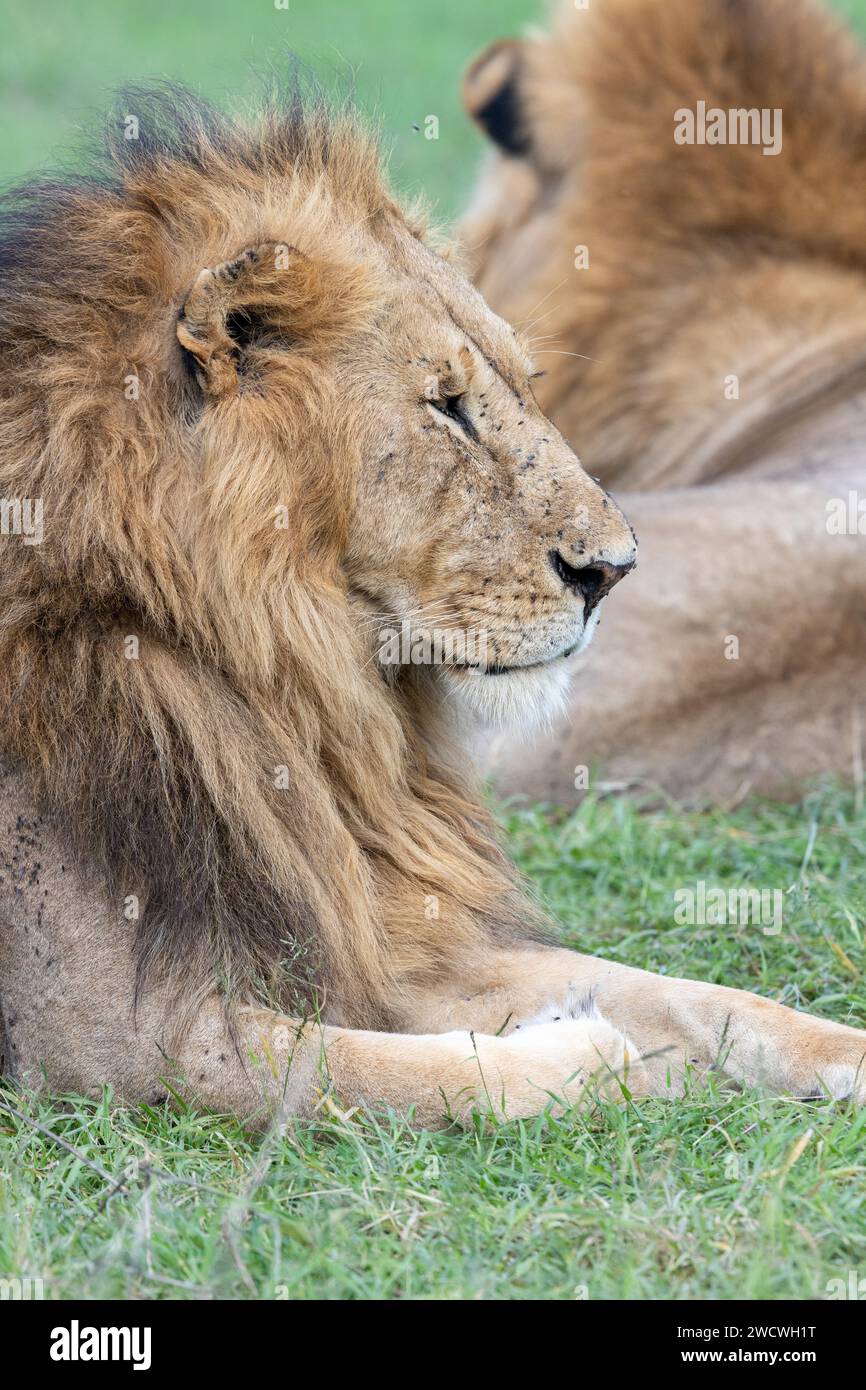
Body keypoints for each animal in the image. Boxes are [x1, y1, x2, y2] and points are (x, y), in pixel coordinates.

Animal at [0, 87, 864, 1128]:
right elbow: (397, 1071)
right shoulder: (99, 1034)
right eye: (446, 406)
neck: (301, 698)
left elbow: (695, 994)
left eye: (524, 385)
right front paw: (593, 1054)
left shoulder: (385, 925)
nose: (614, 569)